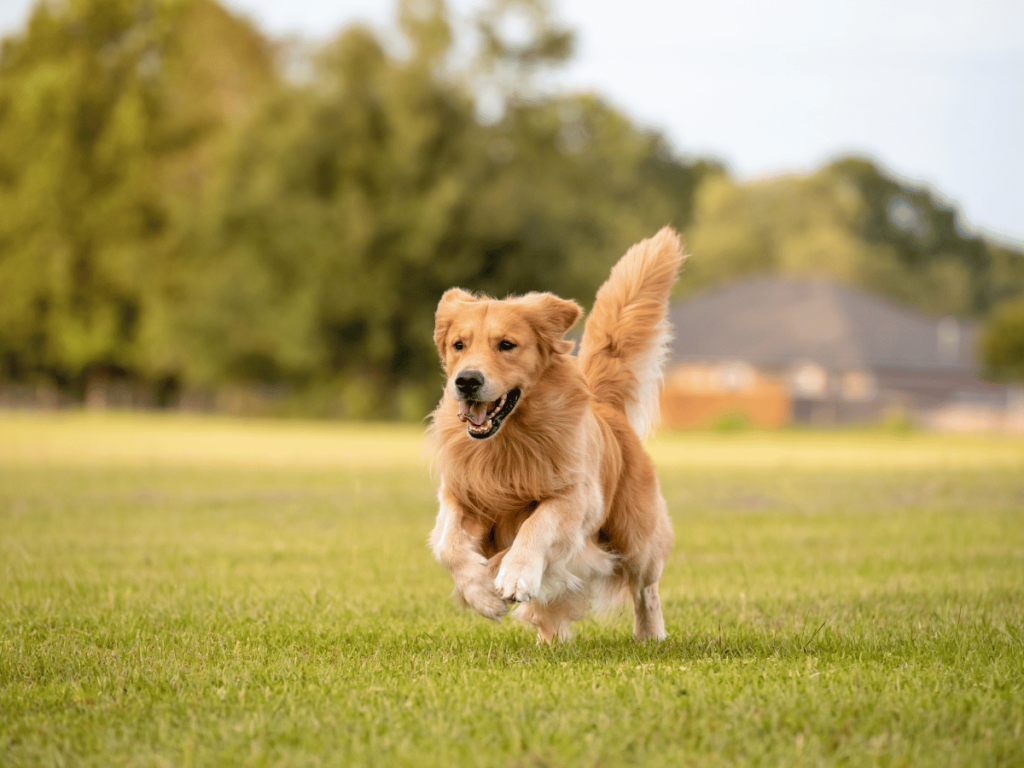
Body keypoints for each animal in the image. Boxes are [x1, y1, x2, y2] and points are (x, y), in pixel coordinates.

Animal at [428, 228, 684, 643]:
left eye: (506, 345)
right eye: (458, 345)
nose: (466, 380)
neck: (508, 442)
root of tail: (606, 407)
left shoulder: (574, 497)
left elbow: (536, 525)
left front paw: (515, 574)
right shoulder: (460, 494)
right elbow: (448, 545)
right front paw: (482, 593)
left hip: (636, 536)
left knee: (646, 587)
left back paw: (650, 634)